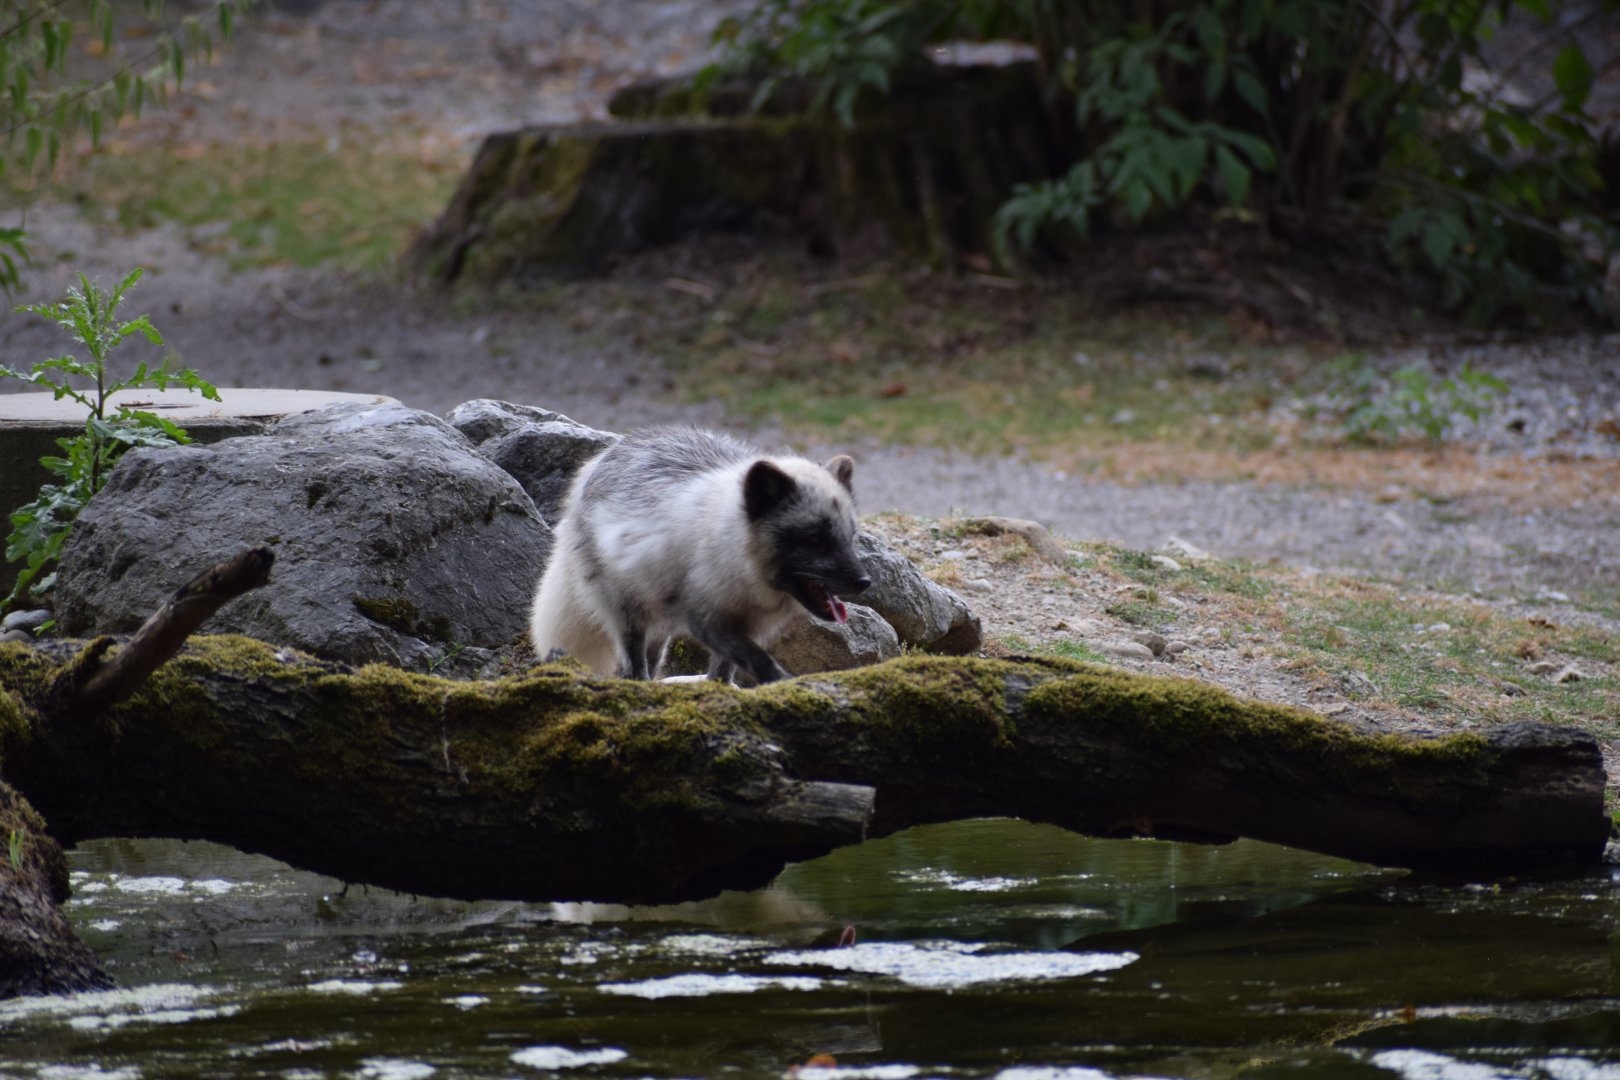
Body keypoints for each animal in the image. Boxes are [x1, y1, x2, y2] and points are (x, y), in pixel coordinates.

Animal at [529, 426, 871, 685]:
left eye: (849, 538)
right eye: (815, 539)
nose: (864, 582)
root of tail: (599, 459)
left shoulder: (747, 623)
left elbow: (723, 670)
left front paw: (719, 689)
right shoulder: (706, 617)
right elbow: (756, 658)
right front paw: (782, 683)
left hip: (661, 618)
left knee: (651, 660)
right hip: (626, 610)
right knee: (632, 663)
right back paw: (640, 685)